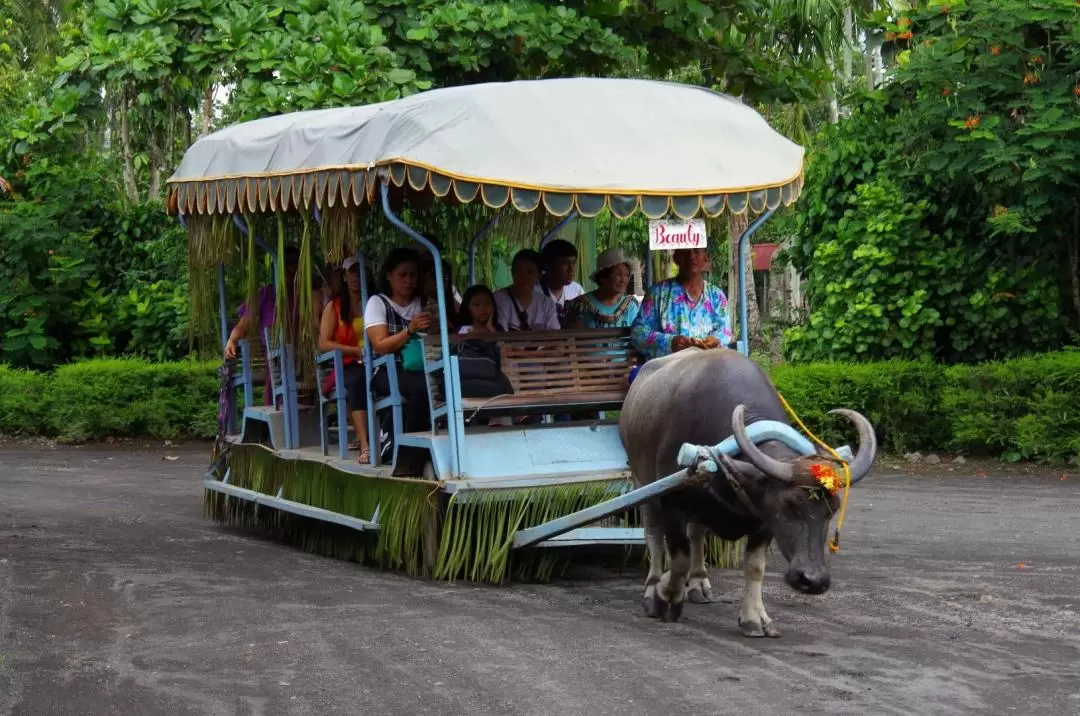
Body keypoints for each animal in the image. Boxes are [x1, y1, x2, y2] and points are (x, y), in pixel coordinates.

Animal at [622, 349, 872, 635]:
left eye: (832, 511)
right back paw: (652, 588)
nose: (814, 580)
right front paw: (665, 595)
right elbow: (678, 558)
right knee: (653, 534)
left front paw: (754, 617)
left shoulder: (763, 518)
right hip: (642, 481)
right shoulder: (672, 502)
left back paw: (699, 583)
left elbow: (754, 566)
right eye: (789, 504)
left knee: (697, 533)